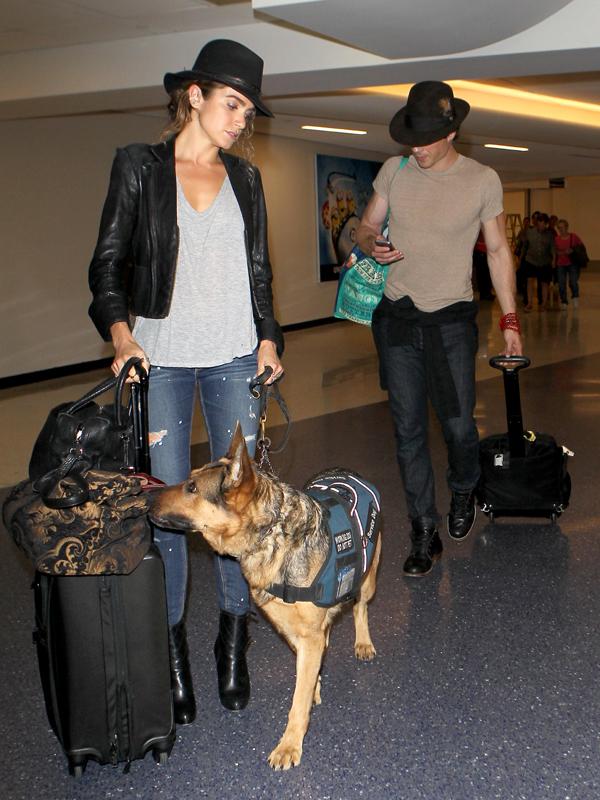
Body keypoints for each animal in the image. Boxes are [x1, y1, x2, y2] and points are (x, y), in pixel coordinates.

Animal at [152, 424, 382, 768]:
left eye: (192, 488)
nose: (147, 497)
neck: (270, 535)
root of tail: (348, 472)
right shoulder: (292, 629)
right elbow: (307, 667)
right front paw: (314, 682)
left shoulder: (308, 633)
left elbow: (298, 701)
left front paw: (289, 744)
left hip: (368, 578)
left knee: (359, 607)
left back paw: (363, 641)